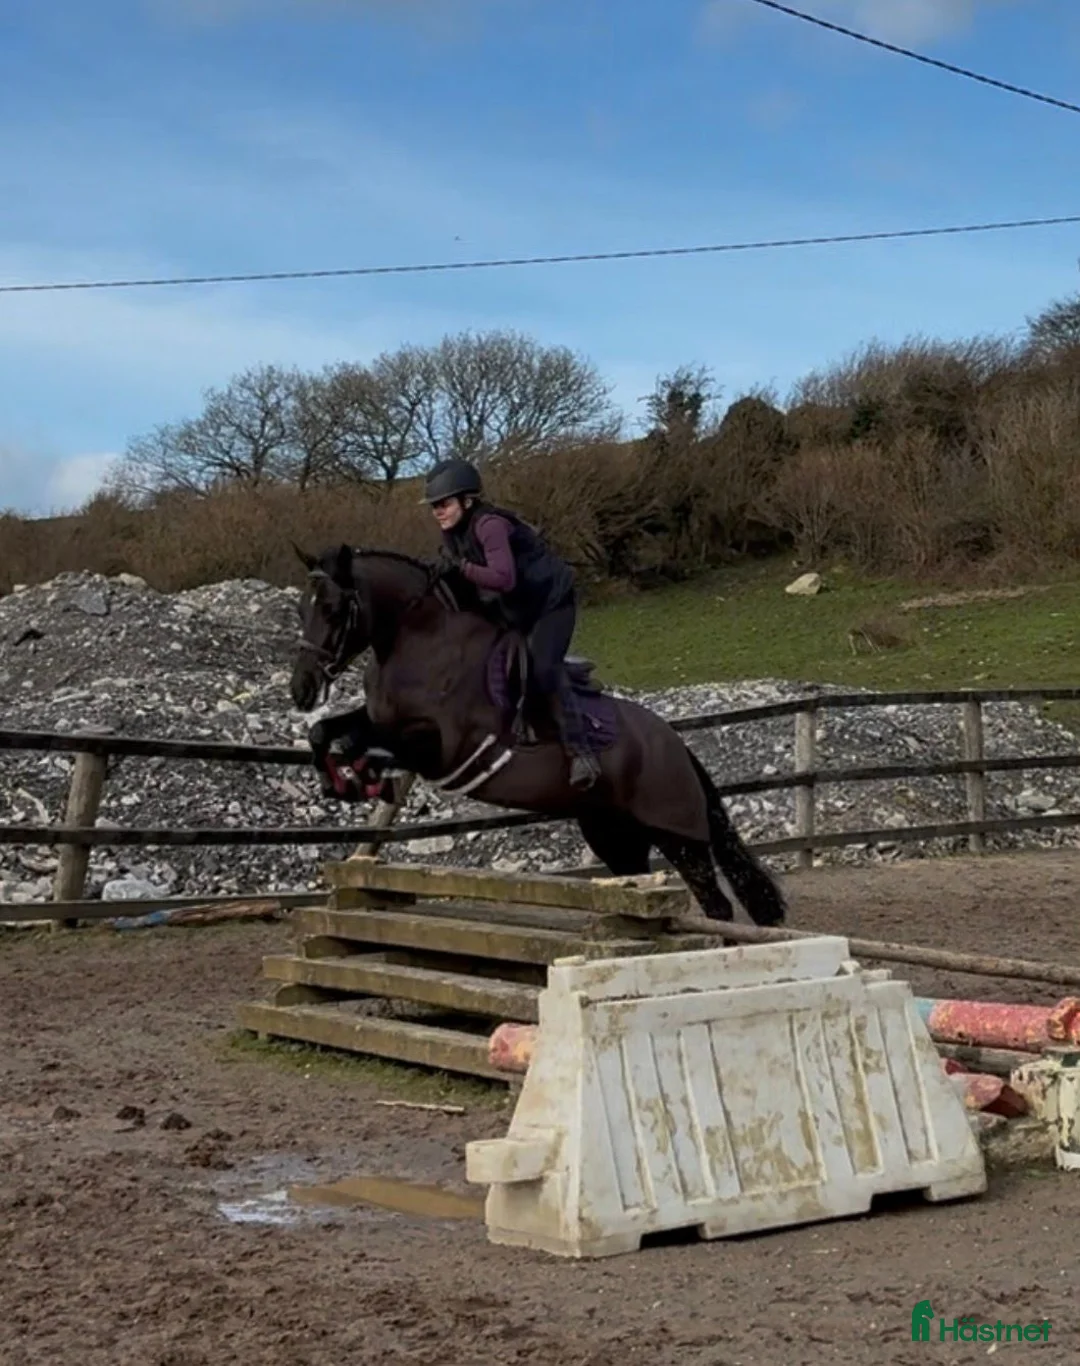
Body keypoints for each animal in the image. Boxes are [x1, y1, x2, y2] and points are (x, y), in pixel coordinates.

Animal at [288, 542, 787, 926]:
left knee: (716, 903)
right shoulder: (380, 721)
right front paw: (338, 782)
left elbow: (367, 745)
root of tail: (676, 745)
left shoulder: (444, 749)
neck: (418, 640)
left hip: (677, 834)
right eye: (300, 609)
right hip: (613, 834)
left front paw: (365, 779)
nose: (301, 688)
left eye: (333, 609)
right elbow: (324, 732)